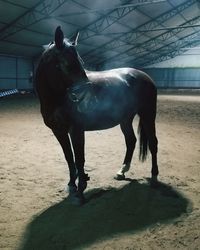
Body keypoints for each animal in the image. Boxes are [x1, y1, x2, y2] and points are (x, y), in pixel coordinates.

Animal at [35, 26, 159, 204]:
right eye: (64, 63)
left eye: (80, 61)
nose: (85, 95)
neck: (57, 99)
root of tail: (144, 76)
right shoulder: (58, 131)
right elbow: (69, 157)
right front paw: (71, 184)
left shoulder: (76, 130)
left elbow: (79, 159)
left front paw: (81, 191)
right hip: (125, 119)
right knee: (131, 141)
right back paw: (122, 171)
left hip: (148, 114)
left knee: (153, 144)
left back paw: (154, 178)